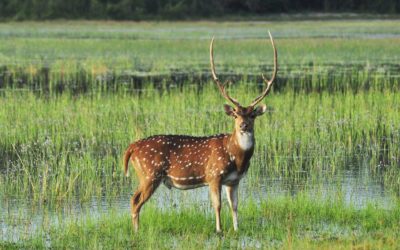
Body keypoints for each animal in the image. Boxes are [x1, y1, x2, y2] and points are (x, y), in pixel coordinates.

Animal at [123, 31, 276, 232]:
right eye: (235, 115)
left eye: (252, 115)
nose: (243, 125)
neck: (237, 157)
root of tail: (131, 147)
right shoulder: (213, 175)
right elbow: (217, 205)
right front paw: (219, 230)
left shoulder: (234, 180)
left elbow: (234, 205)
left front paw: (237, 229)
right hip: (149, 174)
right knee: (135, 200)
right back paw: (136, 232)